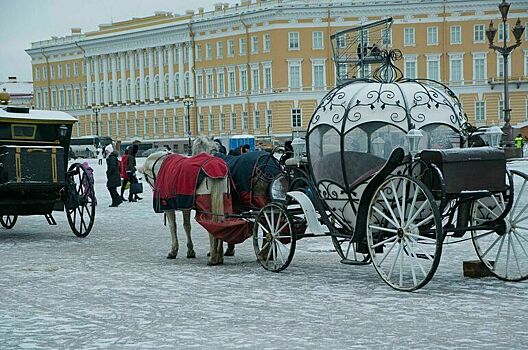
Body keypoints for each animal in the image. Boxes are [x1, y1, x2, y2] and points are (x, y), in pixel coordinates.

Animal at [138, 137, 227, 266]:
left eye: (147, 178)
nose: (152, 187)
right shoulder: (186, 205)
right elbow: (187, 226)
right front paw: (190, 250)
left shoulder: (169, 206)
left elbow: (173, 226)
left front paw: (174, 250)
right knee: (221, 224)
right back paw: (219, 256)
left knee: (212, 225)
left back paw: (213, 258)